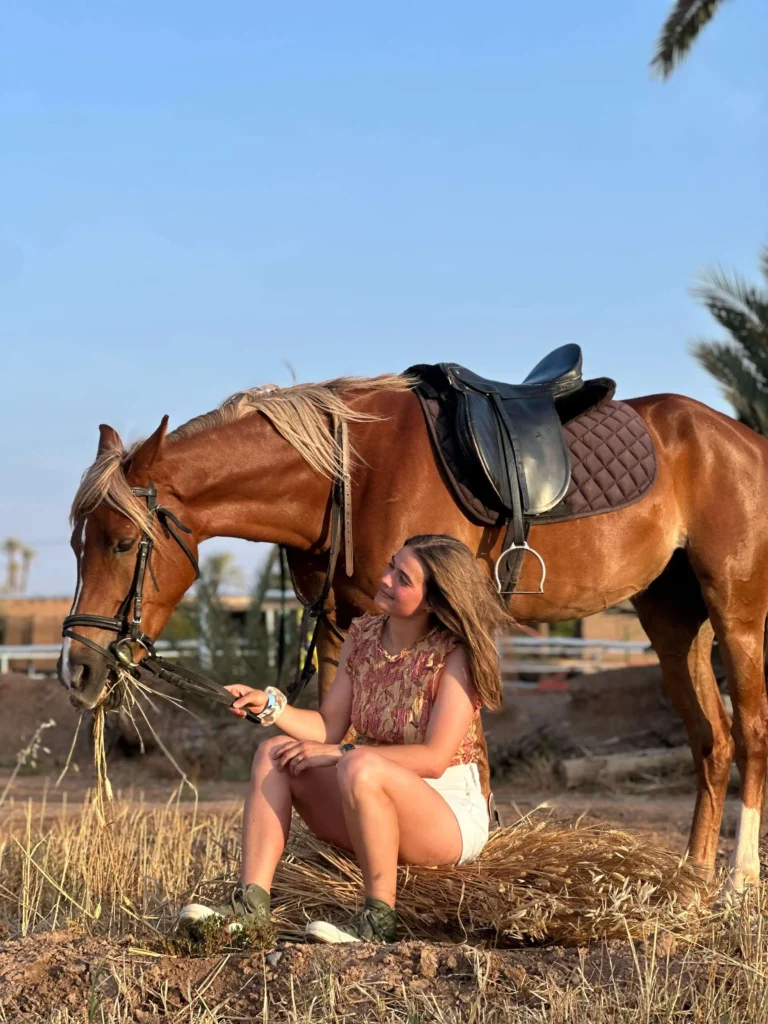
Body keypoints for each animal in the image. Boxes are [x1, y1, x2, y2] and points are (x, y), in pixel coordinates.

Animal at [58, 372, 768, 893]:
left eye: (122, 543)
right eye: (74, 544)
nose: (78, 670)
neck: (350, 476)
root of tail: (745, 441)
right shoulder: (343, 628)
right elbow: (333, 732)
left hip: (737, 616)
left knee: (750, 735)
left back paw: (736, 884)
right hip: (673, 622)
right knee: (712, 740)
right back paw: (693, 881)